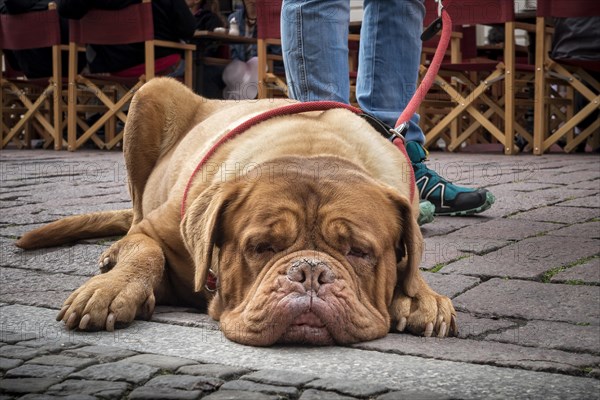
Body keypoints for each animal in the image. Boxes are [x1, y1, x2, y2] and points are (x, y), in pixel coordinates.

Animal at [16, 77, 458, 344]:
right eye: (261, 247)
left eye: (359, 252)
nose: (311, 273)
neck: (311, 149)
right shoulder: (157, 231)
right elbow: (145, 250)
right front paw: (111, 289)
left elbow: (411, 267)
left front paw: (421, 296)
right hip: (150, 96)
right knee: (134, 213)